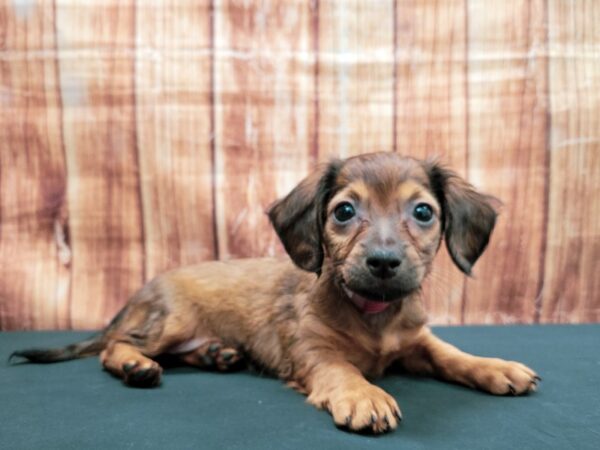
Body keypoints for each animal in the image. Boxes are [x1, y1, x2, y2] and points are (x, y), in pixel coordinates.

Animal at [11, 153, 540, 434]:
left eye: (424, 212)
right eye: (344, 211)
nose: (384, 263)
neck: (373, 314)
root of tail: (142, 293)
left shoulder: (418, 341)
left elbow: (451, 354)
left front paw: (496, 368)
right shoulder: (313, 353)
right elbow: (343, 371)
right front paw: (364, 394)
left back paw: (217, 355)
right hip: (170, 320)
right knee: (117, 347)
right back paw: (136, 366)